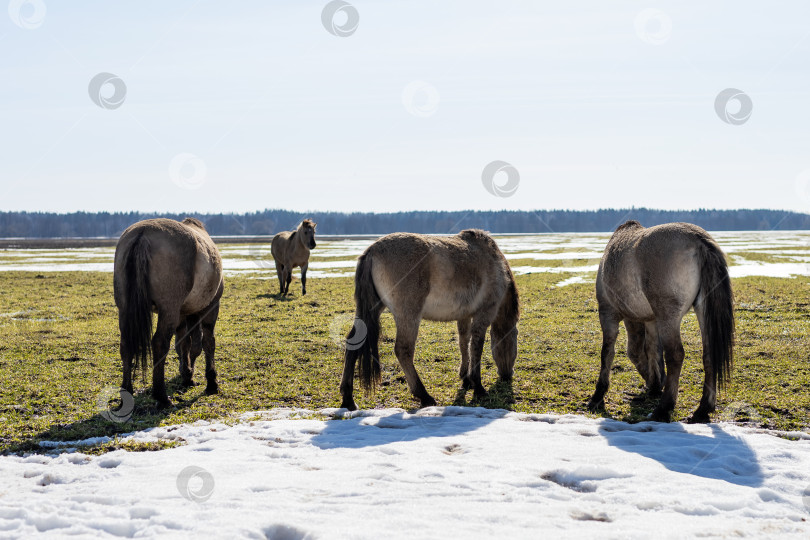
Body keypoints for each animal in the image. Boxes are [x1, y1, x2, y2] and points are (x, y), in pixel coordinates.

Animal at [113, 217, 224, 408]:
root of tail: (143, 233)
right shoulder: (210, 307)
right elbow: (207, 343)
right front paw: (211, 382)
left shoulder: (182, 314)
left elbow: (184, 344)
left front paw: (187, 374)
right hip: (168, 310)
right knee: (160, 343)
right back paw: (162, 397)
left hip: (125, 310)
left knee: (126, 345)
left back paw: (127, 392)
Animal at [339, 229, 520, 411]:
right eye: (514, 340)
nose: (508, 375)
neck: (495, 263)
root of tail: (372, 251)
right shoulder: (484, 314)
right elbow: (476, 346)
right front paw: (478, 387)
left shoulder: (464, 316)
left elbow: (464, 343)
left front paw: (466, 378)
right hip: (409, 316)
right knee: (403, 350)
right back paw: (424, 395)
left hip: (373, 310)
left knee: (353, 344)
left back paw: (348, 399)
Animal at [587, 221, 734, 423]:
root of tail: (698, 240)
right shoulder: (651, 320)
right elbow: (651, 350)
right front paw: (655, 384)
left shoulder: (608, 312)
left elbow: (610, 353)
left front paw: (598, 395)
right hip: (701, 311)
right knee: (709, 354)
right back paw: (703, 408)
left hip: (668, 316)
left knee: (675, 355)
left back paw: (663, 408)